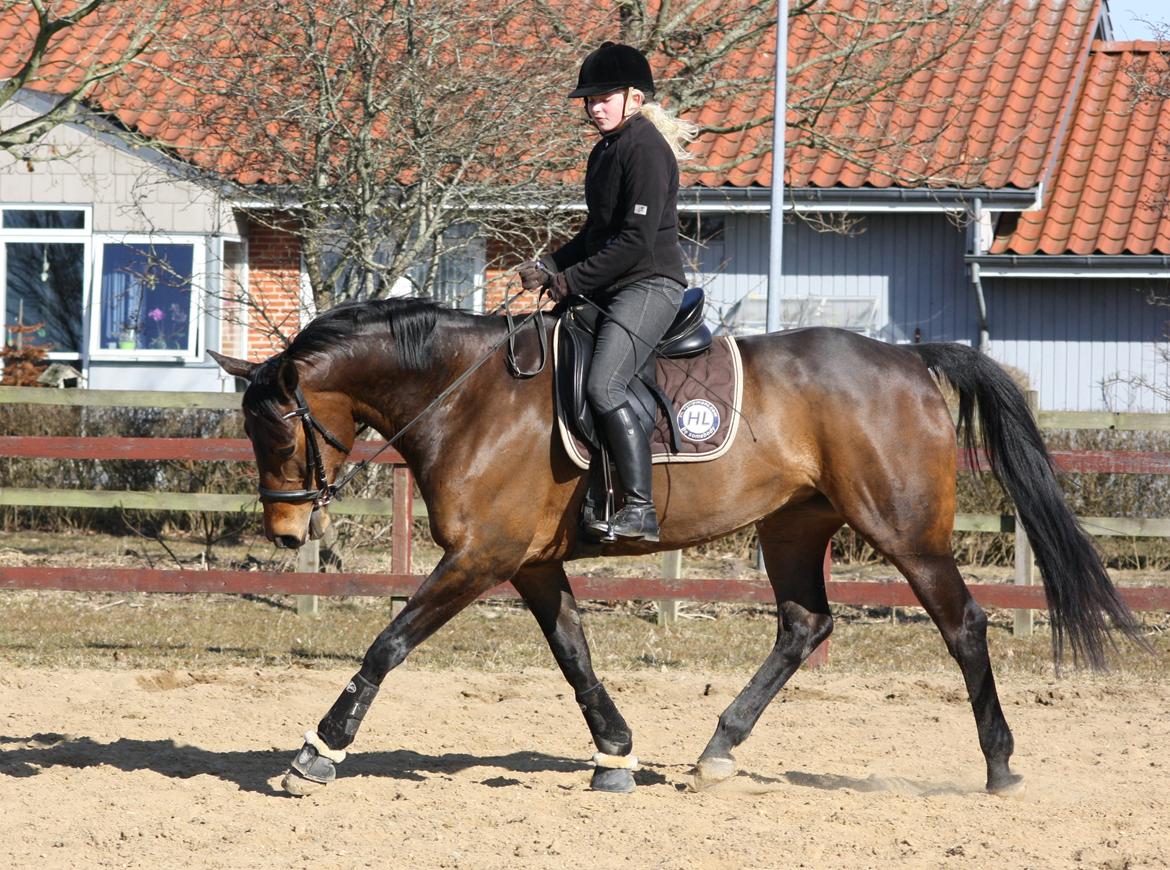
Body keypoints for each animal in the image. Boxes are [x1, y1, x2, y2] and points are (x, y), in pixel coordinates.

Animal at [212, 297, 1141, 795]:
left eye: (280, 431)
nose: (285, 532)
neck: (464, 395)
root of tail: (908, 360)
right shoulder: (531, 564)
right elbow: (575, 657)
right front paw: (614, 755)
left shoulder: (482, 558)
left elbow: (389, 643)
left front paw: (318, 751)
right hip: (793, 525)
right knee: (804, 624)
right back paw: (718, 749)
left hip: (904, 531)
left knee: (964, 627)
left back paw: (1000, 766)